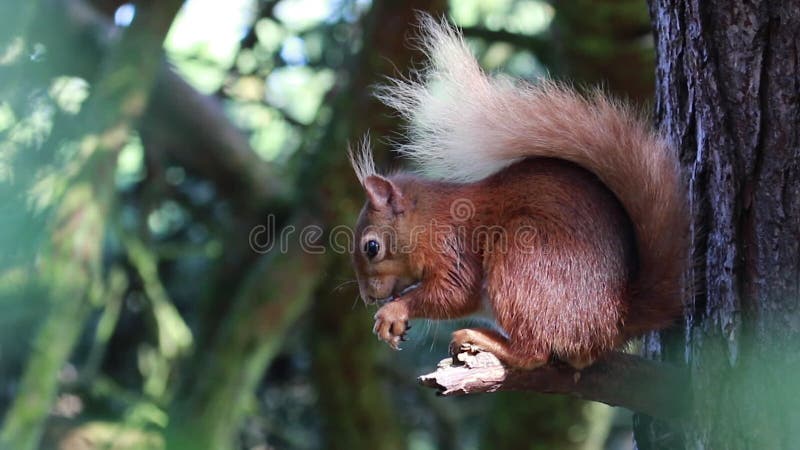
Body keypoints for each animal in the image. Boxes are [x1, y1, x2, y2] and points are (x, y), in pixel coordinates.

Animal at [348, 16, 688, 370]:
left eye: (371, 247)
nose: (368, 297)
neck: (427, 217)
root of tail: (613, 320)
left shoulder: (451, 246)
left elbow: (455, 292)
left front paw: (393, 310)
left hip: (522, 257)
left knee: (534, 353)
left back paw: (484, 339)